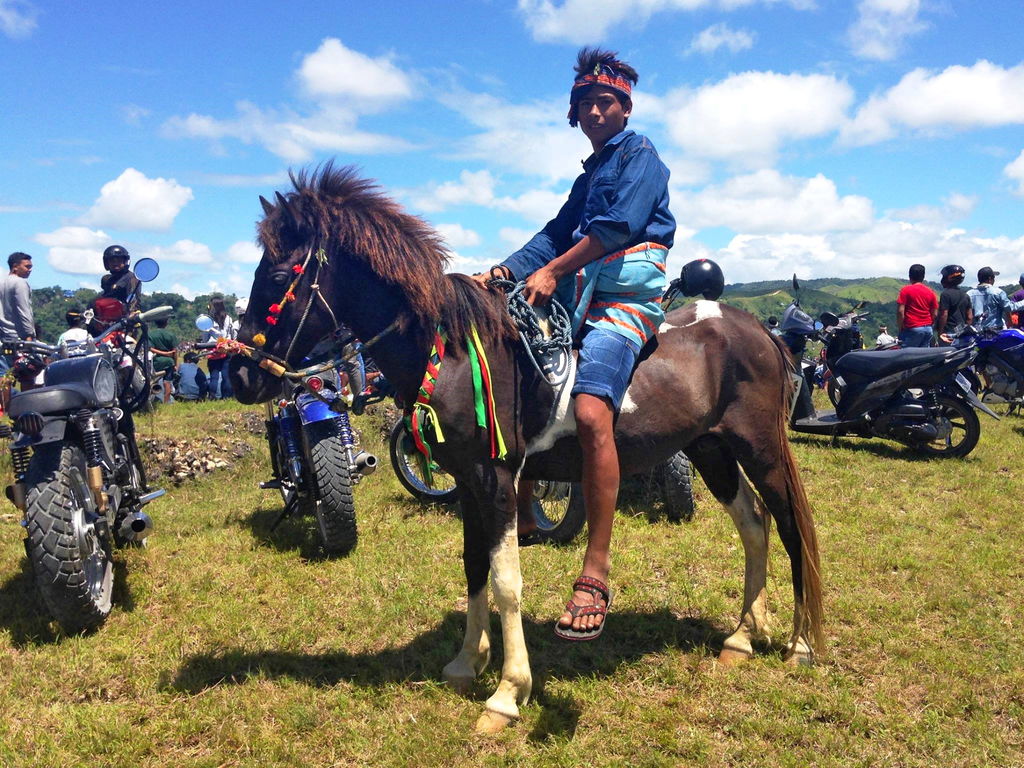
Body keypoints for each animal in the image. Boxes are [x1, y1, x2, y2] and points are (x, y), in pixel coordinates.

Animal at [229, 163, 824, 734]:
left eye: (277, 276)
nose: (237, 374)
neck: (448, 349)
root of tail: (758, 330)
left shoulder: (496, 479)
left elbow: (507, 581)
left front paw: (508, 693)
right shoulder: (467, 480)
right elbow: (473, 566)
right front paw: (467, 663)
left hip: (760, 448)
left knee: (790, 525)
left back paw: (800, 645)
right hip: (711, 449)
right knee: (753, 523)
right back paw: (742, 636)